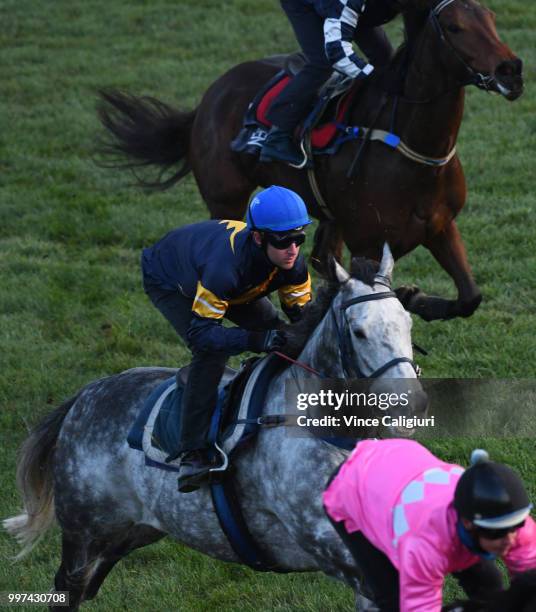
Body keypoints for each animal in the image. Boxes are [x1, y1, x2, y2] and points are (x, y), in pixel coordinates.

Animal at [4, 246, 428, 608]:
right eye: (359, 331)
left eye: (407, 323)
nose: (411, 402)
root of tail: (84, 396)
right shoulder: (331, 545)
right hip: (83, 531)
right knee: (68, 589)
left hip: (133, 529)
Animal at [97, 0, 524, 322]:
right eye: (454, 27)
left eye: (491, 17)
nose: (512, 71)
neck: (411, 145)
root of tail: (206, 100)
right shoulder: (368, 241)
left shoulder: (440, 225)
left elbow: (470, 296)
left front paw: (415, 298)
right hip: (225, 198)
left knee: (322, 255)